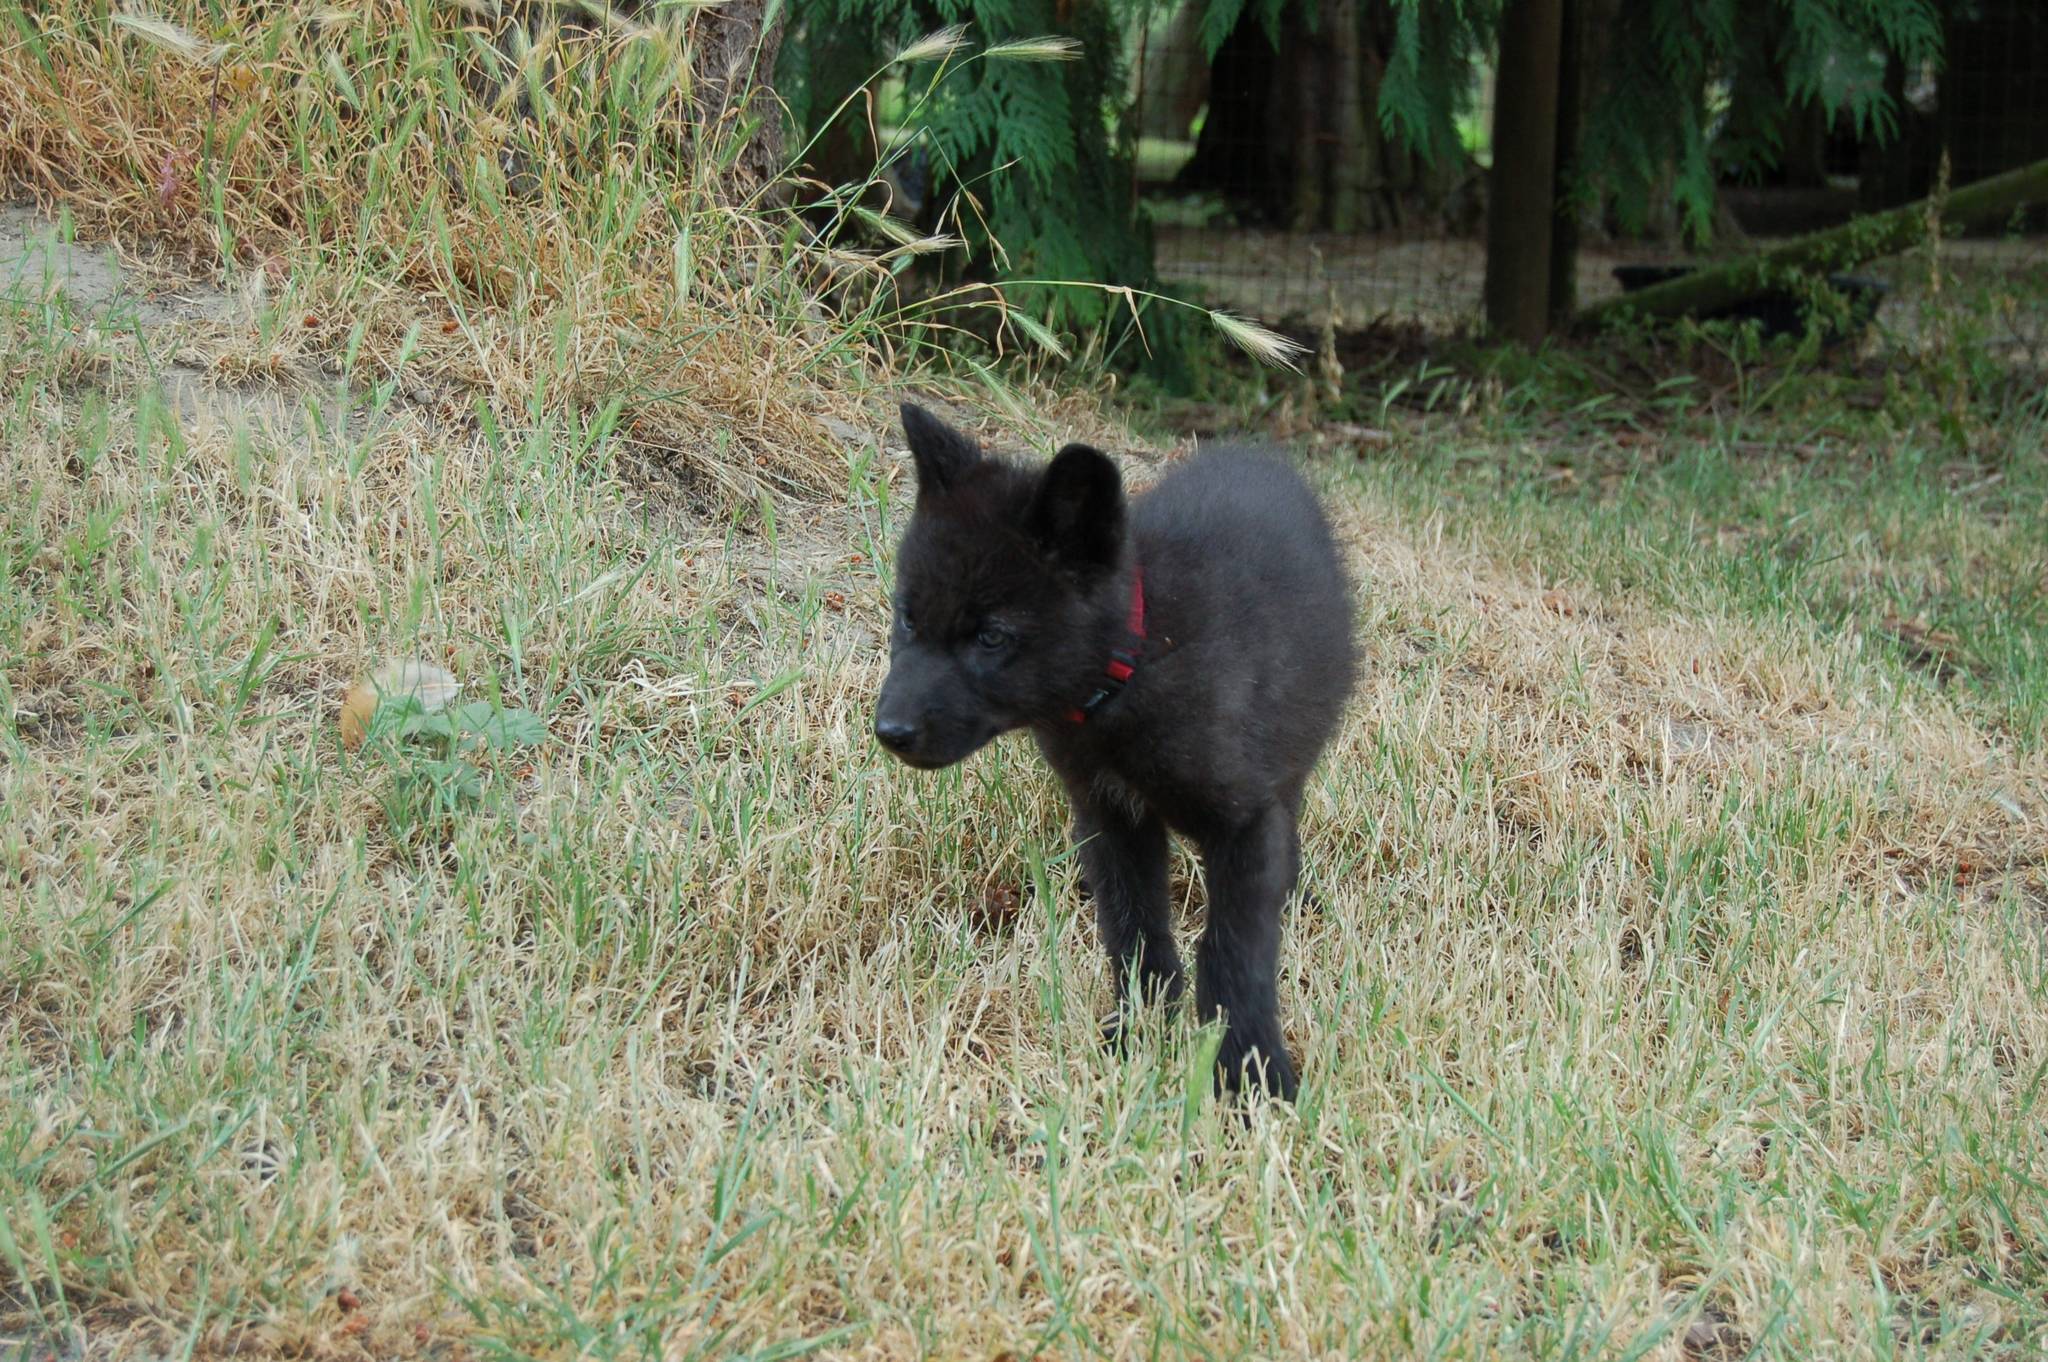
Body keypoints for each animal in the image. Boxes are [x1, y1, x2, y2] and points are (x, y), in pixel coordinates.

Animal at [872, 401, 1351, 1097]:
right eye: (909, 618)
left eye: (991, 637)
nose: (890, 732)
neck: (1138, 659)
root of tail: (1256, 455)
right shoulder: (1109, 814)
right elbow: (1134, 928)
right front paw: (1137, 1032)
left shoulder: (1245, 819)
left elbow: (1235, 950)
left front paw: (1253, 1074)